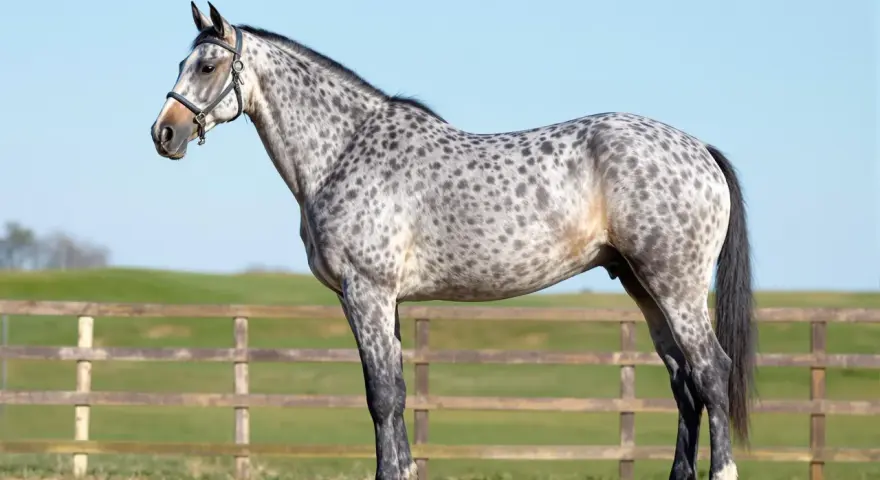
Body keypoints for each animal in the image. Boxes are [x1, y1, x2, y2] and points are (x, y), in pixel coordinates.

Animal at [151, 3, 755, 479]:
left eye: (208, 65)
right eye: (183, 64)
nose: (164, 133)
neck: (345, 149)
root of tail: (699, 148)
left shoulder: (367, 292)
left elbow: (381, 397)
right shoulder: (381, 300)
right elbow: (394, 396)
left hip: (673, 284)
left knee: (711, 373)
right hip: (641, 286)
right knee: (684, 385)